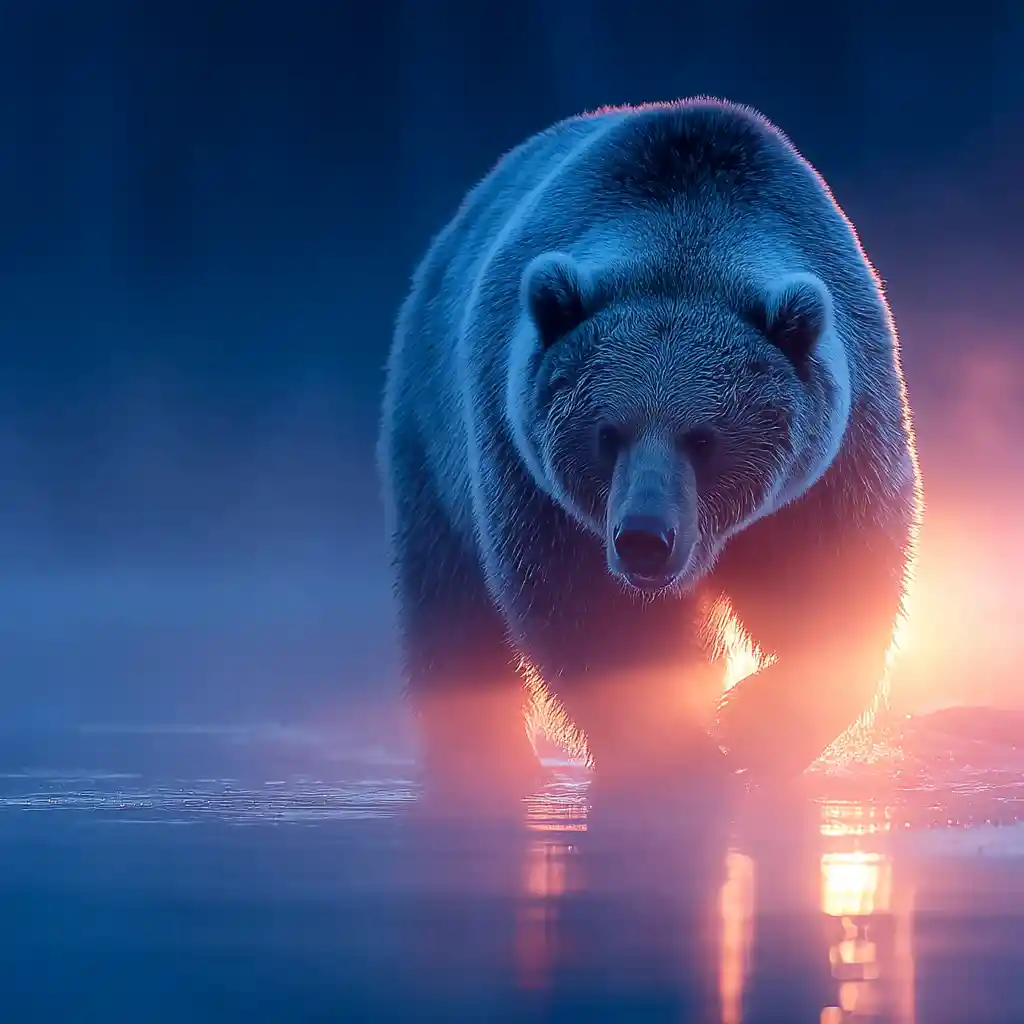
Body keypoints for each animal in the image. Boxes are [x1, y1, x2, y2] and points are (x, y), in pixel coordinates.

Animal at [378, 97, 922, 812]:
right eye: (607, 433)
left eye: (705, 438)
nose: (643, 539)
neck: (685, 242)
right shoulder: (528, 473)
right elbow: (590, 616)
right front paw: (681, 759)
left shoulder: (832, 463)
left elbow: (838, 584)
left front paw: (750, 726)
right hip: (432, 445)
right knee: (452, 611)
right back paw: (485, 759)